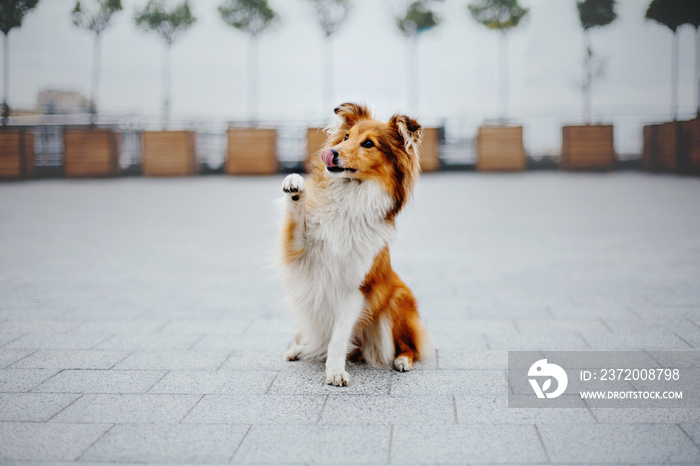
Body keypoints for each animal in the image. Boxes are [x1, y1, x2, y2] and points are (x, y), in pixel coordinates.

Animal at [276, 104, 430, 388]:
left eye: (368, 143)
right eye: (346, 136)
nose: (332, 153)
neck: (349, 198)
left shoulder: (355, 288)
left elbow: (338, 337)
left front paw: (336, 372)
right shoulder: (300, 249)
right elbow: (295, 218)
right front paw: (295, 184)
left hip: (398, 299)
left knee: (410, 346)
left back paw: (403, 361)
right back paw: (299, 349)